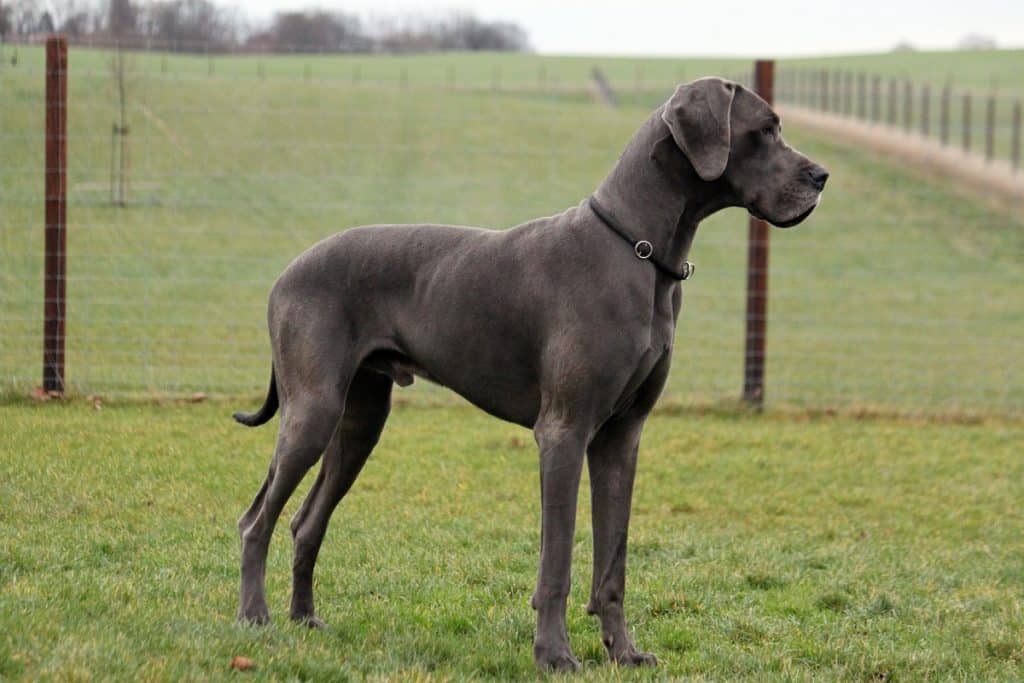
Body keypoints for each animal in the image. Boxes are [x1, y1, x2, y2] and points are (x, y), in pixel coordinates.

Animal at [232, 77, 823, 671]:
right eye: (765, 129)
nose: (822, 176)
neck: (638, 252)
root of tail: (285, 273)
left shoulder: (621, 439)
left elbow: (613, 561)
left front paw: (624, 651)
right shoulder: (563, 432)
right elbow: (556, 560)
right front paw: (554, 653)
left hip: (360, 422)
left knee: (306, 522)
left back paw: (304, 617)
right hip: (313, 411)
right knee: (256, 519)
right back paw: (255, 617)